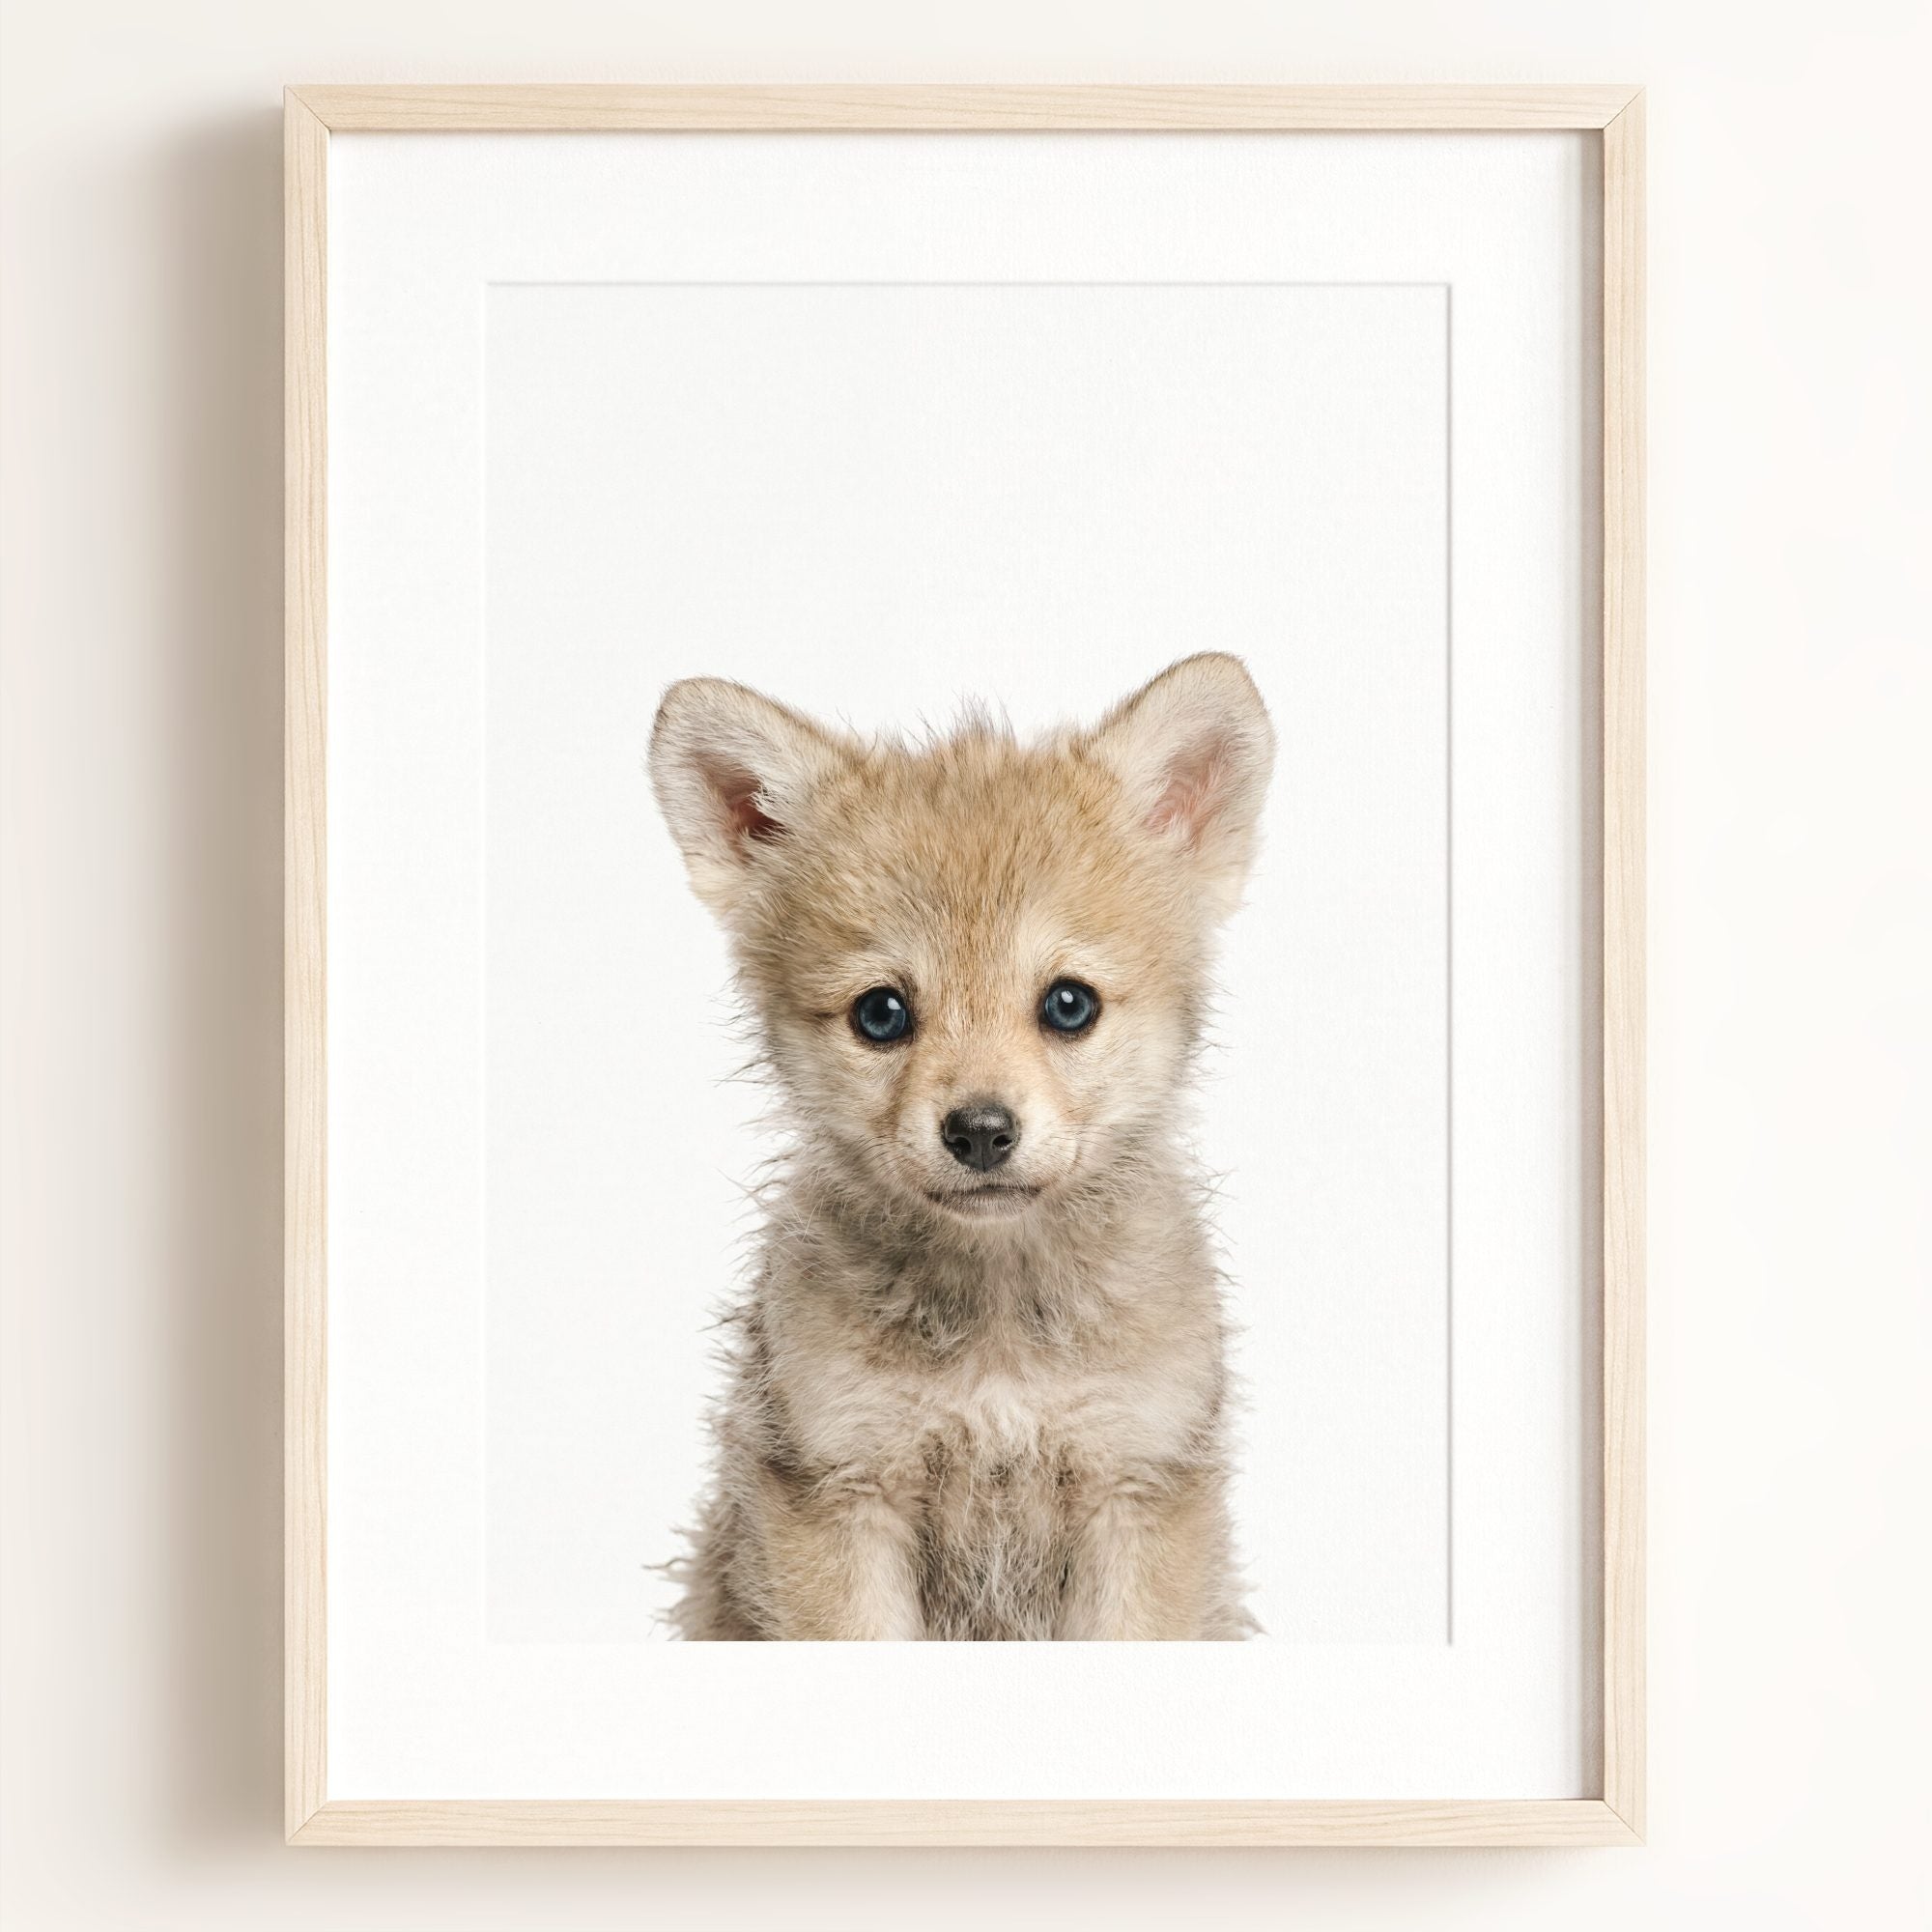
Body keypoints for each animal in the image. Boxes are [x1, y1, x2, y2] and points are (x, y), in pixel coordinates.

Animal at [648, 653, 1274, 1639]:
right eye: (881, 1014)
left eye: (1069, 1004)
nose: (980, 1131)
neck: (998, 1334)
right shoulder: (839, 1489)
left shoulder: (1137, 1487)